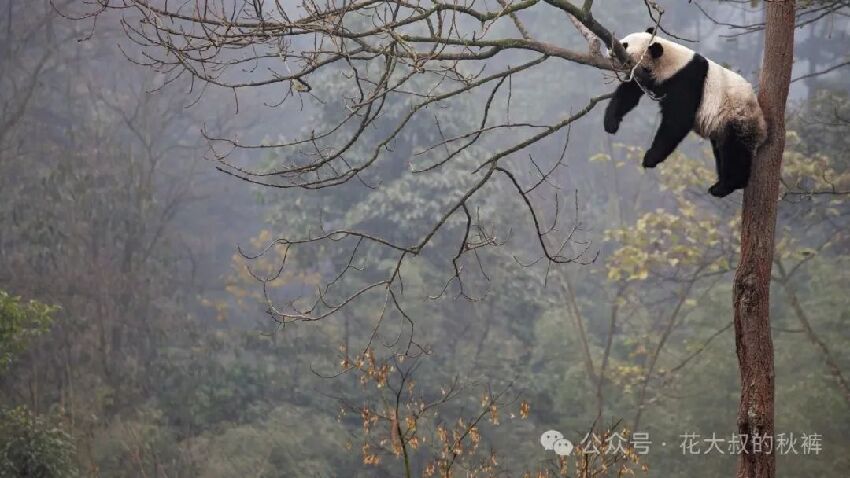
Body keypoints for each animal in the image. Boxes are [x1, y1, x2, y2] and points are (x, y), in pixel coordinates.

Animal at [600, 29, 764, 197]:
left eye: (624, 45)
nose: (609, 49)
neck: (672, 63)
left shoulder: (686, 80)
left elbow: (677, 120)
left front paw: (650, 158)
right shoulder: (644, 75)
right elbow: (628, 93)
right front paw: (611, 123)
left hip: (737, 115)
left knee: (734, 152)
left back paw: (727, 185)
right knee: (721, 150)